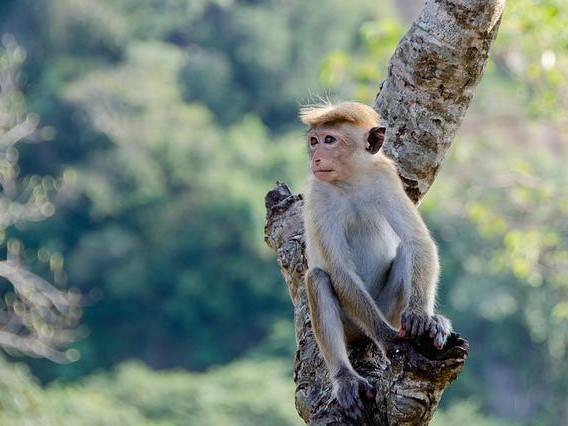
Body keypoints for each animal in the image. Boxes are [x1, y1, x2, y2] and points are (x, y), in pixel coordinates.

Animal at [300, 100, 450, 420]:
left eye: (329, 140)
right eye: (314, 141)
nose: (316, 158)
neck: (349, 181)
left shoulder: (385, 178)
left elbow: (418, 242)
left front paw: (422, 317)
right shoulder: (318, 194)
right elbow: (340, 271)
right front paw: (389, 339)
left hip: (387, 307)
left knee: (406, 251)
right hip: (353, 323)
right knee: (318, 278)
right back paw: (345, 378)